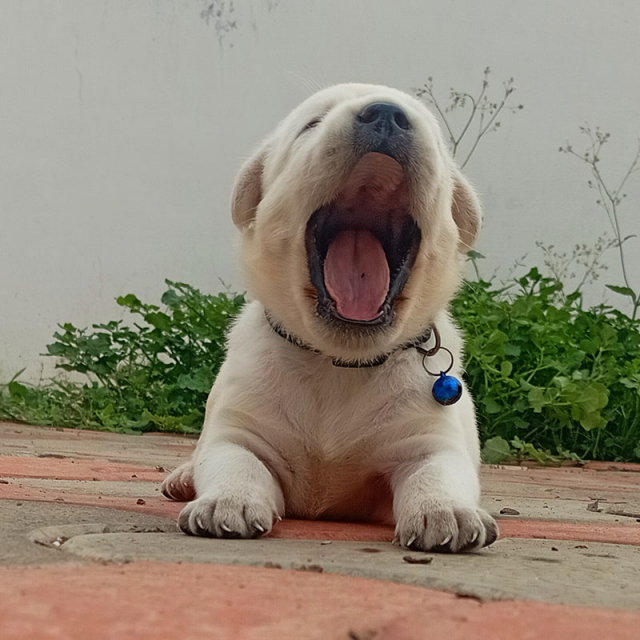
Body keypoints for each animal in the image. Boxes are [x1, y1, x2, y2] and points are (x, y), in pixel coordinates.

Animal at [162, 82, 498, 552]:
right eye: (311, 124)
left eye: (432, 135)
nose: (386, 115)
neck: (340, 364)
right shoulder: (242, 428)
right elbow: (235, 461)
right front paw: (226, 502)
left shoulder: (428, 440)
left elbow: (437, 471)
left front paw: (446, 511)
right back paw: (182, 478)